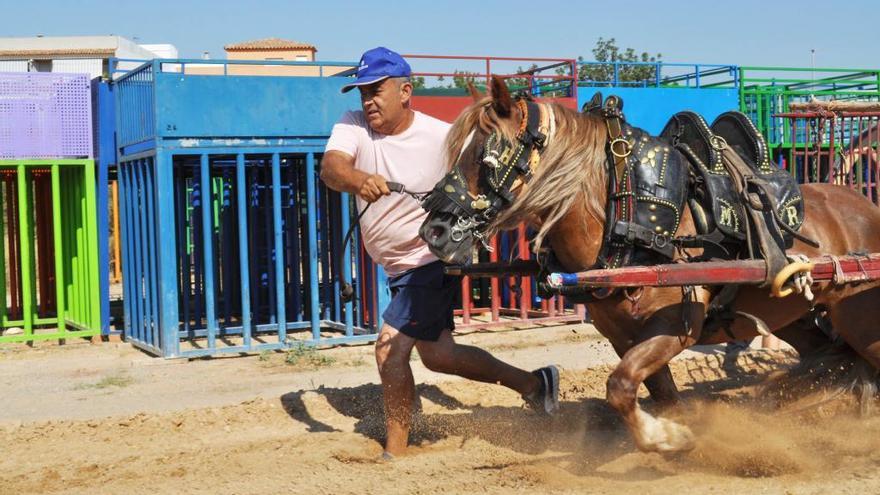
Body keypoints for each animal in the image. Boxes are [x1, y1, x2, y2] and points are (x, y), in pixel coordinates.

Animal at [416, 77, 880, 454]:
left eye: (487, 156)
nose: (433, 231)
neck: (626, 217)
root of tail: (866, 206)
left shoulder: (676, 326)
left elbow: (620, 386)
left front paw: (665, 439)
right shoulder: (622, 334)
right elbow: (658, 395)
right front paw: (680, 434)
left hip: (859, 319)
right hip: (792, 315)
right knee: (828, 358)